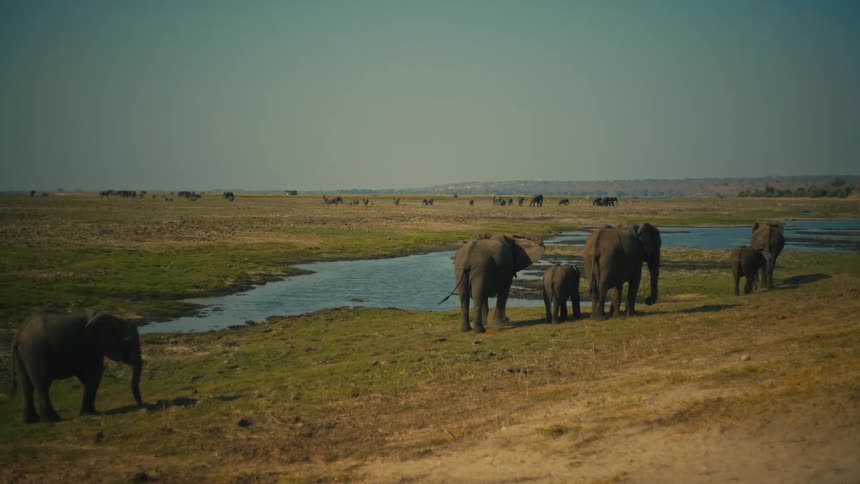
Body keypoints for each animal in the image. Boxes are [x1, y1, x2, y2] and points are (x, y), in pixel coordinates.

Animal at [10, 311, 143, 423]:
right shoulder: (90, 347)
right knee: (42, 385)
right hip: (36, 353)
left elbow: (90, 378)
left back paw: (30, 421)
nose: (141, 405)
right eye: (128, 342)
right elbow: (94, 376)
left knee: (27, 386)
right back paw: (52, 420)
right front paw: (89, 413)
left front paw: (89, 412)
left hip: (24, 355)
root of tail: (18, 335)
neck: (114, 317)